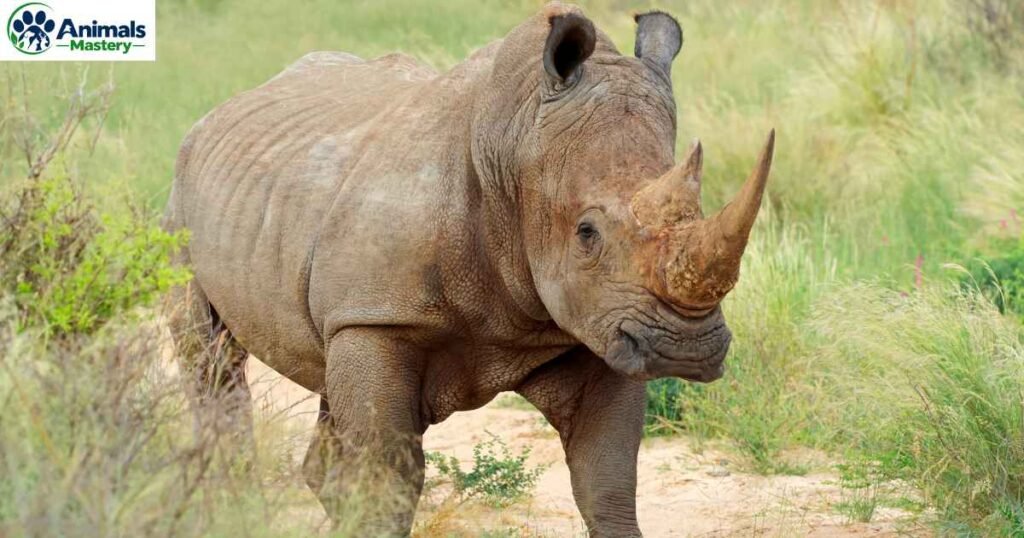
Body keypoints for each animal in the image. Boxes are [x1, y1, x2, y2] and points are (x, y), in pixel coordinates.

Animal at [164, 3, 774, 536]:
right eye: (587, 233)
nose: (685, 350)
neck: (515, 146)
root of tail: (227, 106)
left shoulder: (604, 324)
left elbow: (607, 481)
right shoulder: (375, 317)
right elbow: (388, 478)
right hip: (183, 191)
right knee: (211, 359)